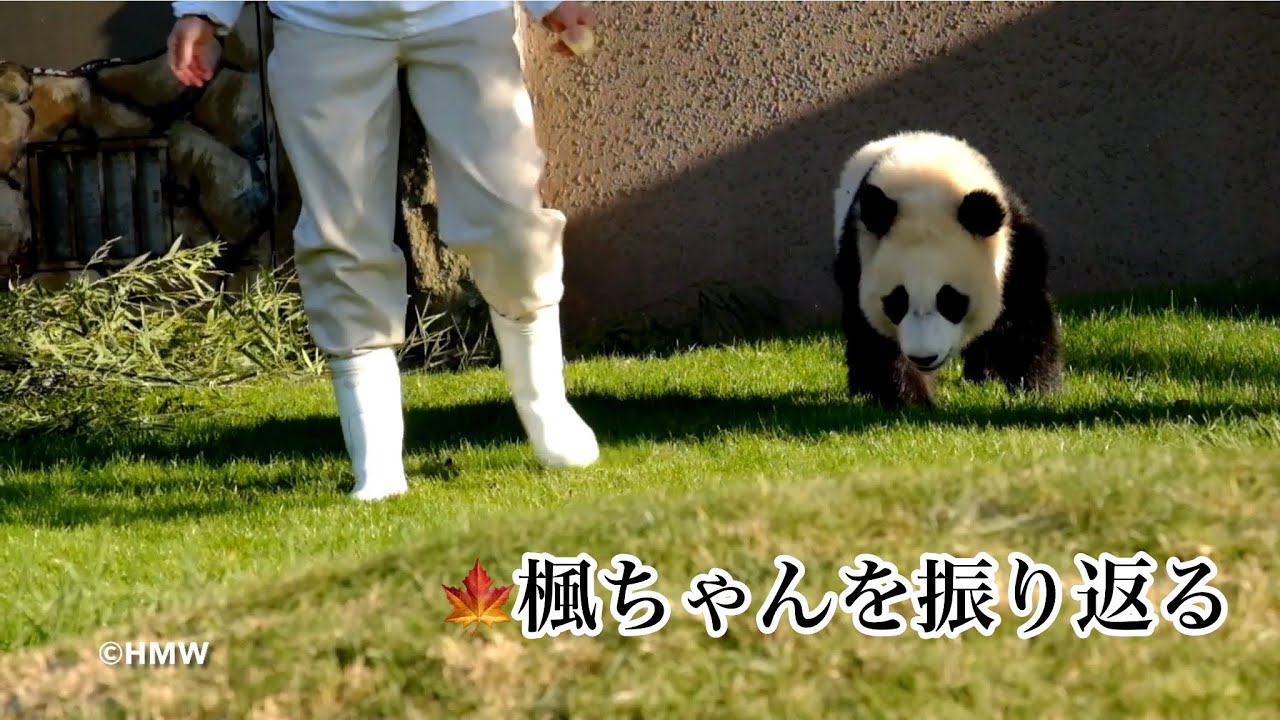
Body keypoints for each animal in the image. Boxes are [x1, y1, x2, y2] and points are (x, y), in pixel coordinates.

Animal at [831, 130, 1063, 409]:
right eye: (897, 302)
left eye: (951, 300)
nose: (924, 358)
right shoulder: (857, 256)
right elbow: (873, 338)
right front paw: (911, 402)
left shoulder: (1015, 246)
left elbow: (1023, 316)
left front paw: (1037, 391)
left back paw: (982, 377)